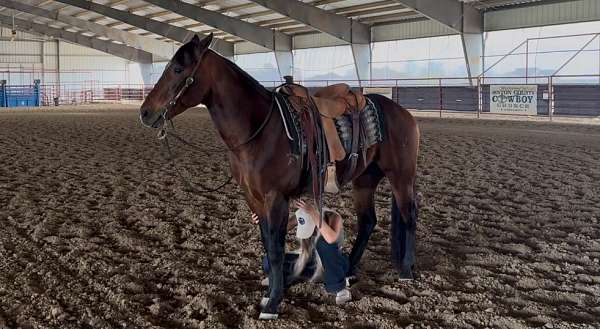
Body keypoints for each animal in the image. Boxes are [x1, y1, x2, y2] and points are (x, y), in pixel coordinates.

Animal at [141, 34, 420, 320]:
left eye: (177, 69)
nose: (145, 113)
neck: (259, 130)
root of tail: (402, 112)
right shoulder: (254, 198)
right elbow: (268, 243)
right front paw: (270, 294)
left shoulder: (276, 198)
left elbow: (275, 250)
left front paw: (273, 303)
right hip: (364, 180)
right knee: (368, 221)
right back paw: (350, 271)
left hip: (401, 176)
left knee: (409, 217)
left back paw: (406, 271)